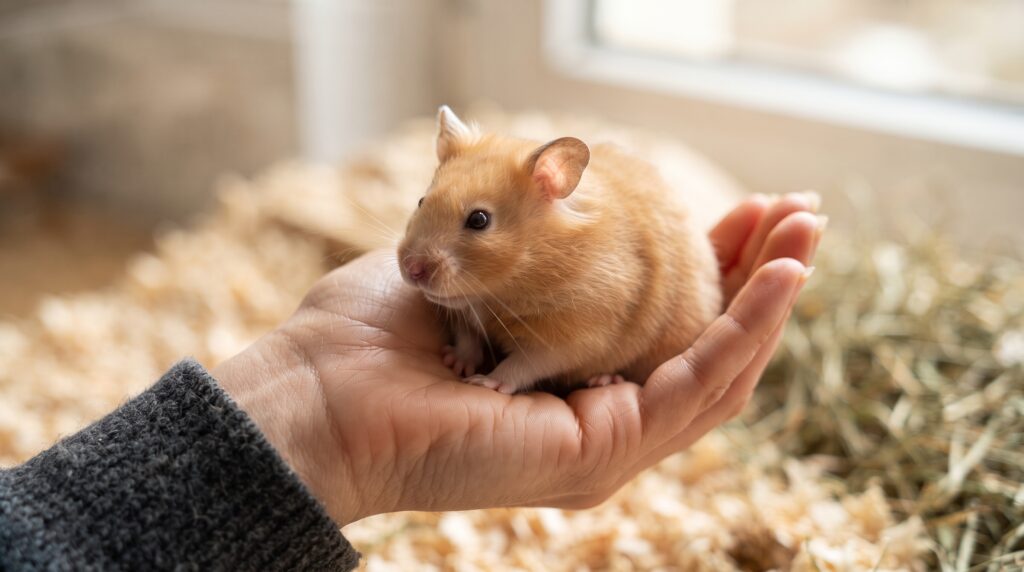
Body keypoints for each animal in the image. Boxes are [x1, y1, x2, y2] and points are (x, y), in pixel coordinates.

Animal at [397, 106, 722, 394]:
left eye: (479, 220)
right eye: (421, 201)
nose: (412, 269)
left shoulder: (576, 334)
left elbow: (526, 363)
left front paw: (484, 382)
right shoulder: (463, 314)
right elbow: (467, 336)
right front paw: (456, 362)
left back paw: (605, 380)